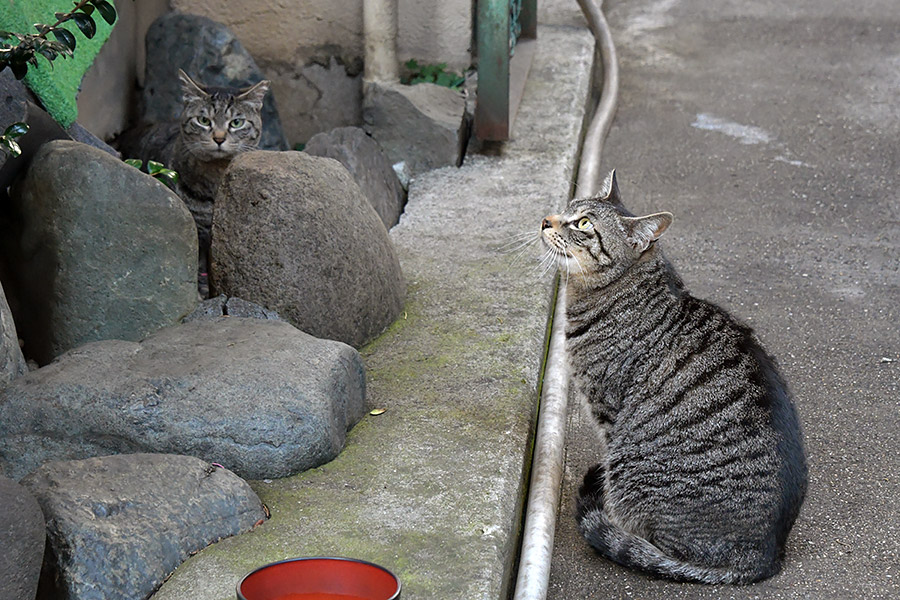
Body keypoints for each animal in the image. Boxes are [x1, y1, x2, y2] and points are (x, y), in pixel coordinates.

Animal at [540, 171, 808, 584]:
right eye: (568, 208)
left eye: (583, 224)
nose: (545, 220)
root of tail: (764, 556)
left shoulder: (607, 409)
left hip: (631, 470)